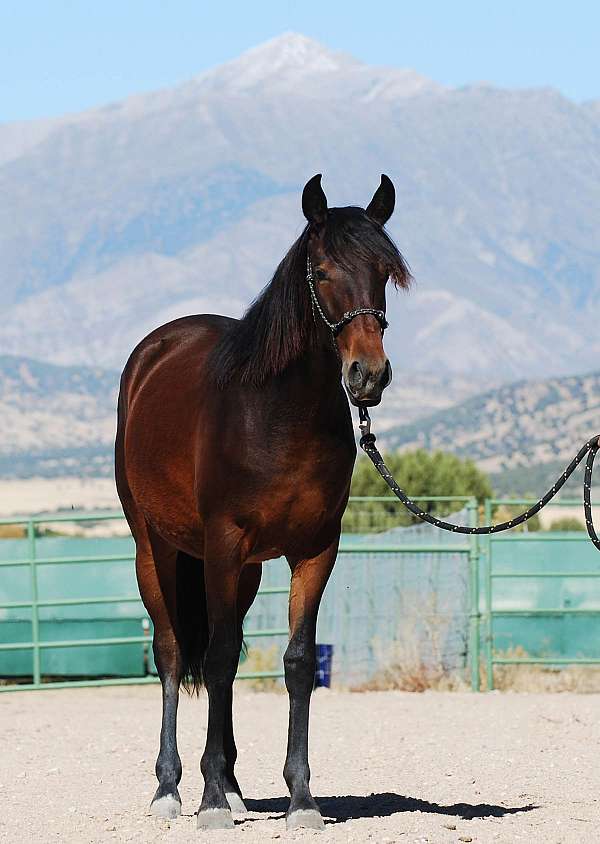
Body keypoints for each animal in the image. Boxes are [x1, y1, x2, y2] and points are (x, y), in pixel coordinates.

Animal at [114, 173, 411, 831]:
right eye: (322, 271)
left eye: (384, 271)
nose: (368, 375)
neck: (279, 415)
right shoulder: (224, 543)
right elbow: (219, 658)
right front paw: (206, 802)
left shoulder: (316, 550)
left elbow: (296, 662)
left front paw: (300, 798)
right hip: (158, 550)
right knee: (173, 652)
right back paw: (172, 789)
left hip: (243, 572)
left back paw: (230, 784)